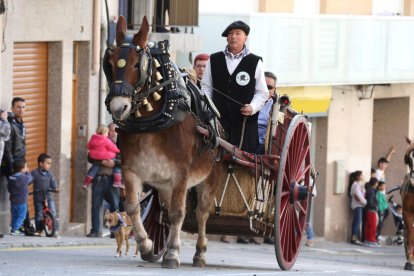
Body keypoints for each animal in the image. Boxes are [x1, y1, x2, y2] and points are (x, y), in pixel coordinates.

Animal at [103, 16, 225, 268]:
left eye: (137, 65)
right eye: (110, 62)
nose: (119, 107)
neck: (152, 122)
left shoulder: (181, 173)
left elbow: (179, 213)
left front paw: (172, 254)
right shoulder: (130, 170)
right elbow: (132, 208)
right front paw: (147, 246)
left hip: (209, 178)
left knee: (201, 213)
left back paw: (199, 253)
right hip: (164, 185)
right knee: (166, 214)